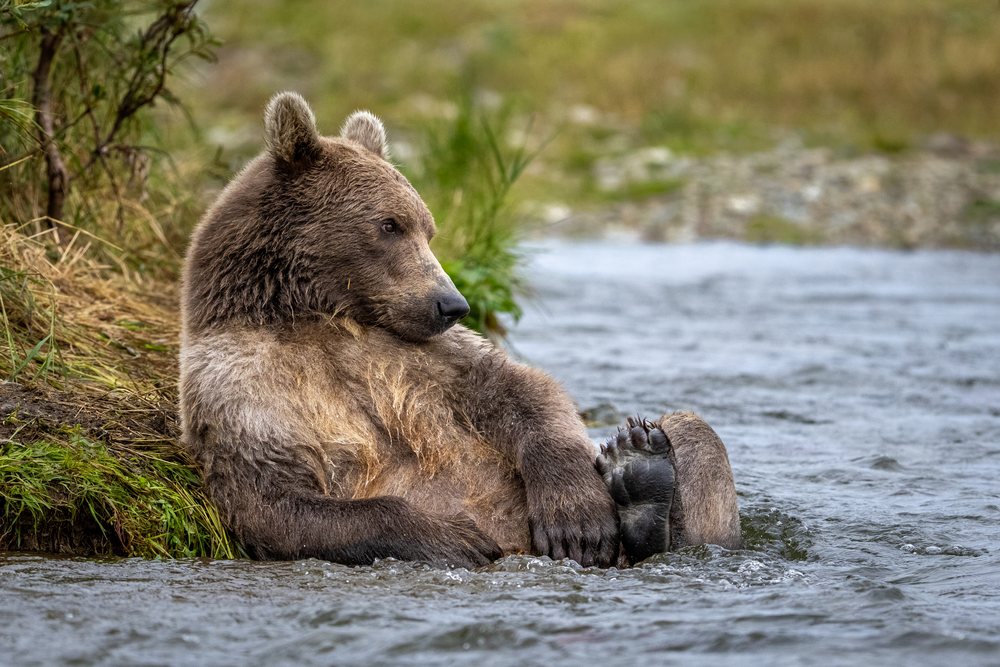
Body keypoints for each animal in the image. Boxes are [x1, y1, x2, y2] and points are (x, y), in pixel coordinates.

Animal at [179, 92, 741, 568]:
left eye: (427, 228)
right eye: (389, 225)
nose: (452, 303)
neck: (313, 314)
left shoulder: (414, 353)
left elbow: (516, 389)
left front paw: (575, 518)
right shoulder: (246, 393)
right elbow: (276, 504)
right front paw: (457, 538)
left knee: (692, 431)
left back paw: (642, 477)